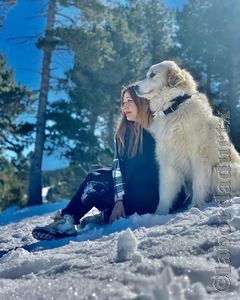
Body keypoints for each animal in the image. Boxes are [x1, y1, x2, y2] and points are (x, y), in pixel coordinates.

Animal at [134, 60, 240, 213]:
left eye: (152, 75)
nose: (134, 87)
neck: (175, 106)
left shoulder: (198, 157)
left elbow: (199, 184)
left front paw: (195, 204)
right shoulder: (168, 161)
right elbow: (165, 191)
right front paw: (159, 213)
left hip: (219, 170)